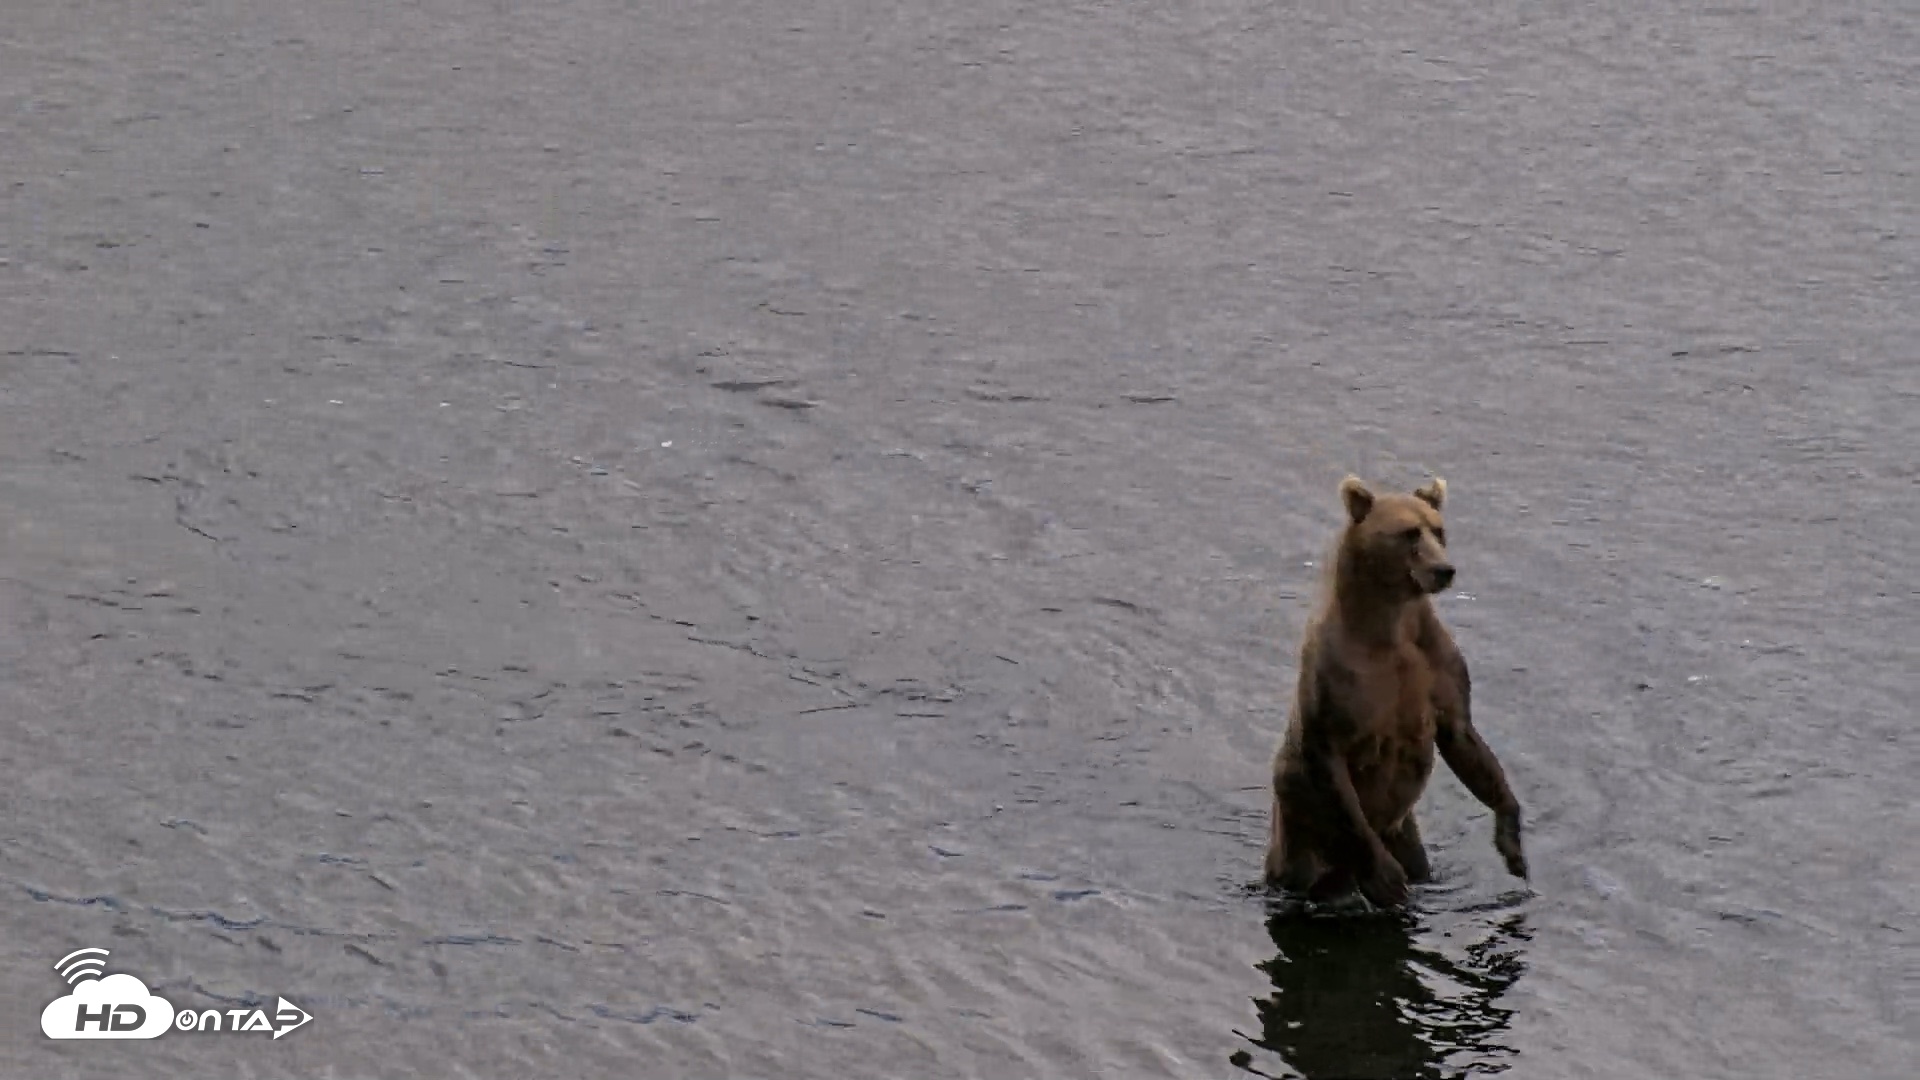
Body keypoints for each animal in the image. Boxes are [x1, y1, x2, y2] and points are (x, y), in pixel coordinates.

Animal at [1264, 475, 1527, 907]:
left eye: (1439, 530)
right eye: (1408, 533)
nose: (1444, 570)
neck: (1388, 627)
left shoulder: (1436, 666)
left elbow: (1464, 737)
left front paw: (1512, 841)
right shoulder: (1337, 684)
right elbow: (1332, 760)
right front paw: (1385, 877)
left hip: (1405, 833)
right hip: (1299, 835)